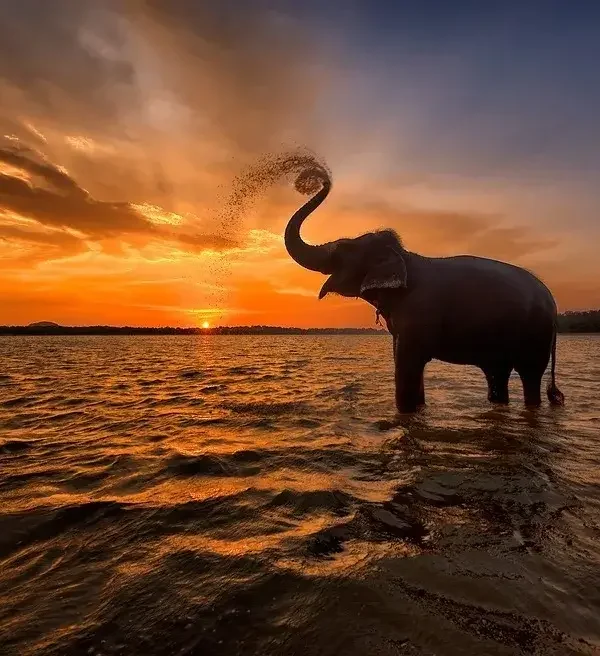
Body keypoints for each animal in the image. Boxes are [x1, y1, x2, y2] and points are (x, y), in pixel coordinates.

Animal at [283, 170, 565, 414]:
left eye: (342, 249)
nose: (317, 178)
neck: (406, 257)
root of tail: (553, 304)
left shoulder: (418, 314)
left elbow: (407, 367)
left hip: (535, 336)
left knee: (530, 378)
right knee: (497, 376)